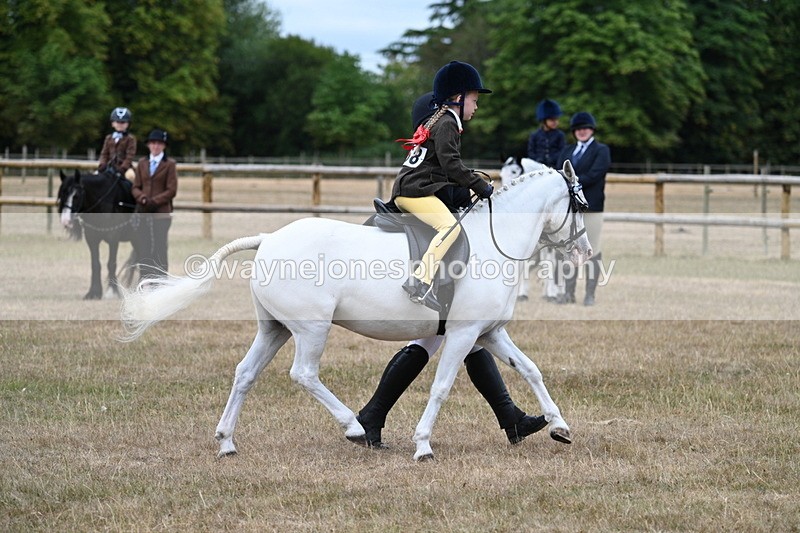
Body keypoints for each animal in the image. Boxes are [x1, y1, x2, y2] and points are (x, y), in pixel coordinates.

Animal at [58, 169, 139, 299]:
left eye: (76, 196)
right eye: (62, 195)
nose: (65, 221)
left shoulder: (113, 238)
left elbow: (111, 263)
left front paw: (112, 291)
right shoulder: (91, 239)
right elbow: (95, 264)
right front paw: (93, 292)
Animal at [121, 160, 592, 461]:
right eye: (578, 203)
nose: (585, 252)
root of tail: (269, 238)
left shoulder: (487, 332)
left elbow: (529, 370)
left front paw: (555, 425)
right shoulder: (464, 332)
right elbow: (441, 387)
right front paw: (423, 445)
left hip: (274, 328)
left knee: (245, 373)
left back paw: (226, 442)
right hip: (311, 328)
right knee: (304, 374)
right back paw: (353, 427)